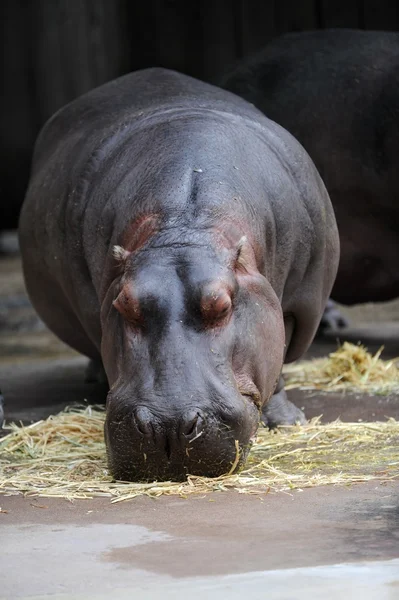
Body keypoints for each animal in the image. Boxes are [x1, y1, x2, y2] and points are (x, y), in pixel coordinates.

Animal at [18, 68, 338, 480]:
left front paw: (285, 422)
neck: (186, 226)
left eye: (222, 305)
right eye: (124, 304)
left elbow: (278, 359)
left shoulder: (295, 305)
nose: (165, 425)